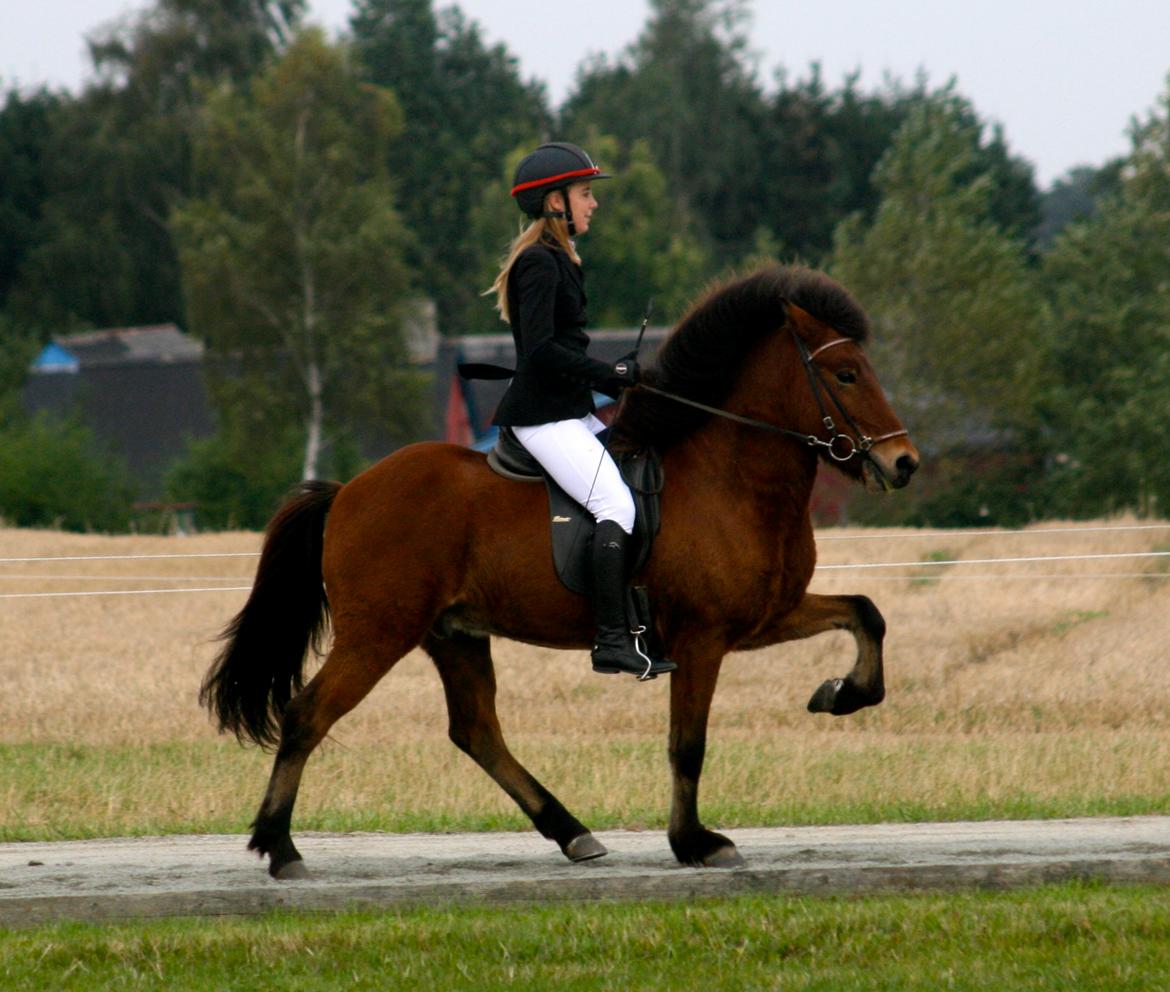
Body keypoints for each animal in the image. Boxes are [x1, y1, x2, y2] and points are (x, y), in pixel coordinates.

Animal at [205, 262, 921, 875]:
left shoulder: (763, 617)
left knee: (477, 731)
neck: (732, 476)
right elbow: (687, 743)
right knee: (308, 715)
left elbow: (867, 614)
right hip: (378, 634)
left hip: (455, 634)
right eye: (847, 374)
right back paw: (279, 847)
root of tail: (348, 489)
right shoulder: (704, 637)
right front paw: (695, 843)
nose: (904, 463)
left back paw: (573, 833)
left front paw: (842, 694)